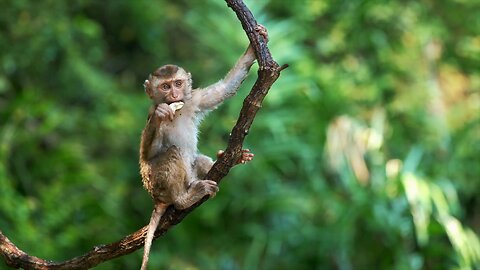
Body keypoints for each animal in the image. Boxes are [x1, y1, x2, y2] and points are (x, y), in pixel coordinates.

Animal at [139, 24, 268, 268]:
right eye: (165, 86)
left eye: (178, 83)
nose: (174, 94)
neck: (178, 109)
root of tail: (156, 199)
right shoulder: (150, 112)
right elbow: (147, 155)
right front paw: (161, 114)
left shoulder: (193, 100)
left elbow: (224, 89)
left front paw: (252, 48)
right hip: (156, 183)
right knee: (171, 153)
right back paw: (182, 201)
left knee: (195, 159)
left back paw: (229, 160)